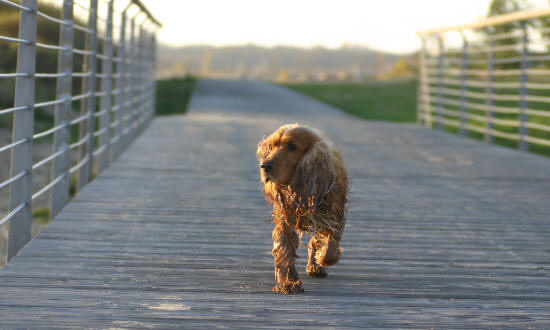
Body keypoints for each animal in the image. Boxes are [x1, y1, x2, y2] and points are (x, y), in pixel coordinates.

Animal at [258, 124, 350, 294]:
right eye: (270, 146)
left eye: (292, 147)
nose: (265, 166)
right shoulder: (285, 220)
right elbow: (285, 250)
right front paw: (288, 282)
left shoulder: (333, 217)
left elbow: (329, 247)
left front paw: (321, 258)